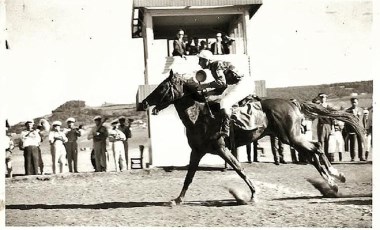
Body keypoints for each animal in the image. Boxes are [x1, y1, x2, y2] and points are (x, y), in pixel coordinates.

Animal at [142, 70, 366, 205]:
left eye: (162, 87)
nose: (144, 102)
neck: (200, 116)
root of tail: (292, 102)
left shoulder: (221, 148)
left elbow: (239, 168)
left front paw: (253, 194)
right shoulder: (197, 151)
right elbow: (189, 177)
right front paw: (177, 199)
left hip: (290, 137)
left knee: (317, 148)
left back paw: (335, 178)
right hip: (289, 137)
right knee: (313, 152)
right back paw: (332, 182)